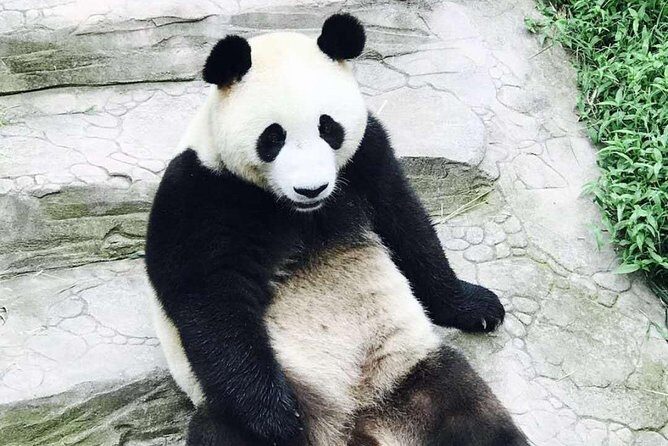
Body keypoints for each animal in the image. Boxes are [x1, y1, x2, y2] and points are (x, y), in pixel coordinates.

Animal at [146, 14, 528, 446]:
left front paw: (478, 307)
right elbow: (210, 301)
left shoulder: (367, 156)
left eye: (328, 128)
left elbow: (408, 227)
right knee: (219, 429)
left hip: (416, 373)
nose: (311, 188)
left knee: (474, 417)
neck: (298, 210)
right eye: (272, 137)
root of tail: (358, 421)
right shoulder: (201, 196)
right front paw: (279, 418)